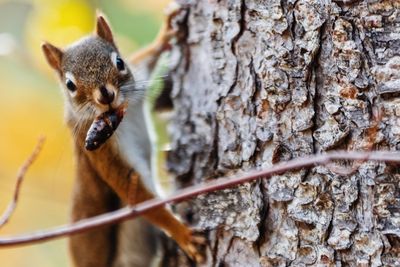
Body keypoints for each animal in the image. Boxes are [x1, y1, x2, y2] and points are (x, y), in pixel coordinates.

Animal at [42, 11, 206, 267]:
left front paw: (164, 35)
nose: (105, 95)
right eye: (70, 84)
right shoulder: (101, 150)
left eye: (119, 62)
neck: (121, 113)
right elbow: (137, 194)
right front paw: (182, 233)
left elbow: (145, 57)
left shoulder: (138, 77)